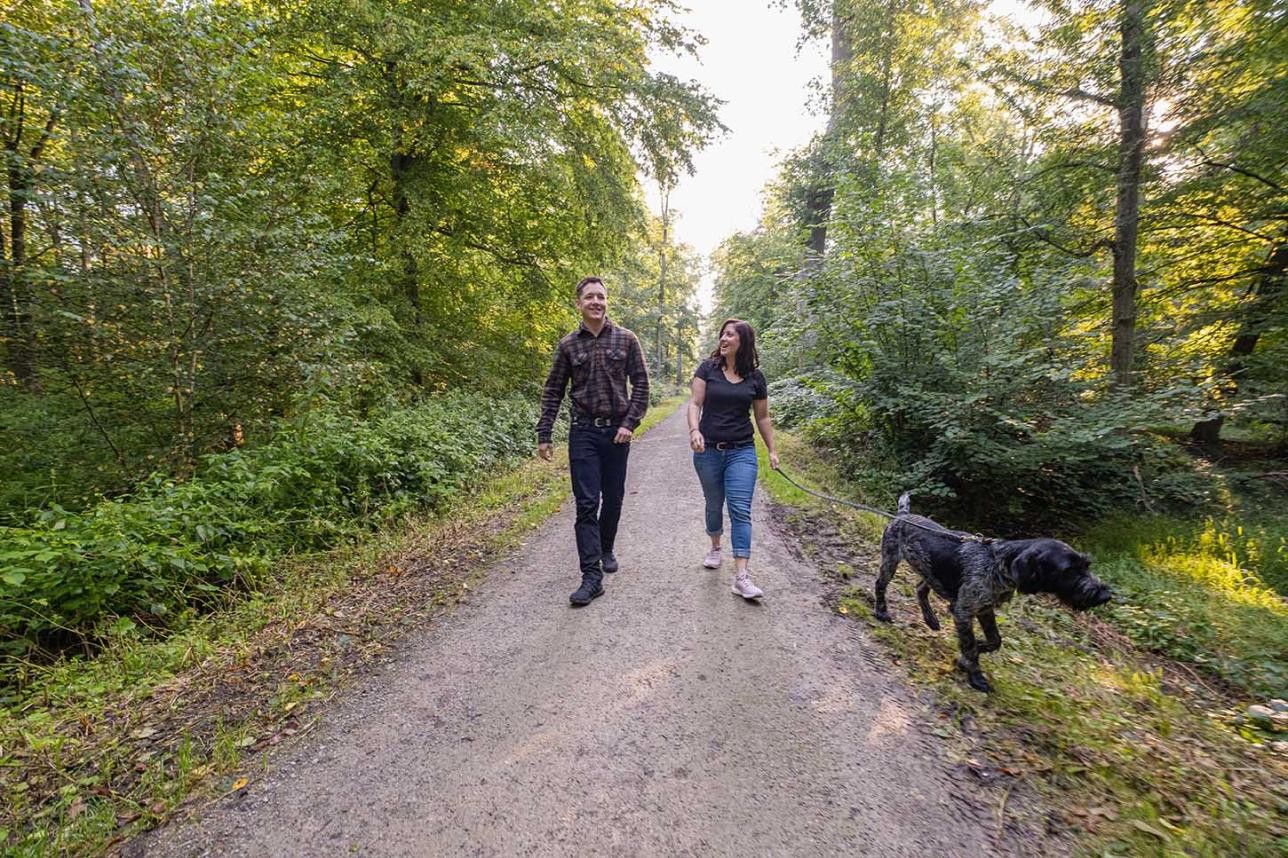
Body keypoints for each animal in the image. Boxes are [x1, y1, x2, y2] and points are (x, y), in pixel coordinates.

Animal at [870, 492, 1112, 690]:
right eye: (1068, 570)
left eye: (1087, 565)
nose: (1105, 595)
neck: (999, 563)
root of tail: (902, 515)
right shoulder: (964, 612)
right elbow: (969, 647)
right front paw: (975, 674)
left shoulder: (985, 609)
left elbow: (995, 640)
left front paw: (979, 647)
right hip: (891, 560)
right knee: (880, 585)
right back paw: (881, 611)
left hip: (931, 572)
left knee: (921, 588)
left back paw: (930, 619)